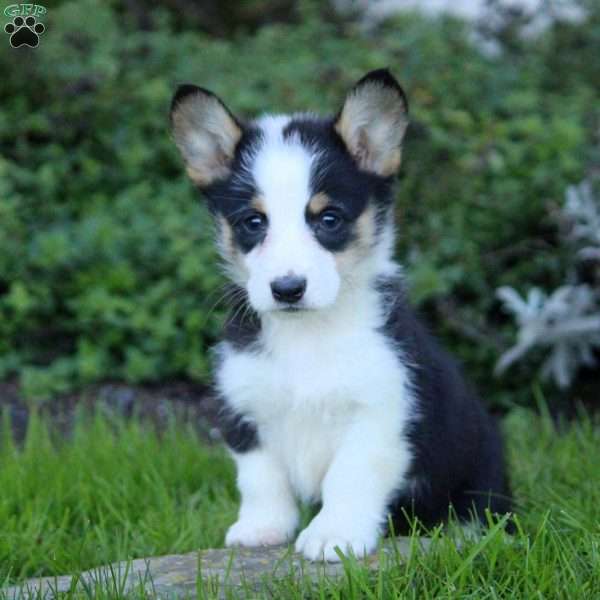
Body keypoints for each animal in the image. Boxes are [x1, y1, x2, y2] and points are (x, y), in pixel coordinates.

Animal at [169, 69, 510, 564]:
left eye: (328, 219)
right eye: (254, 222)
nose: (288, 289)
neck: (307, 335)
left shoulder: (379, 413)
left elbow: (348, 479)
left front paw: (334, 536)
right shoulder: (245, 412)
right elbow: (260, 479)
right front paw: (260, 529)